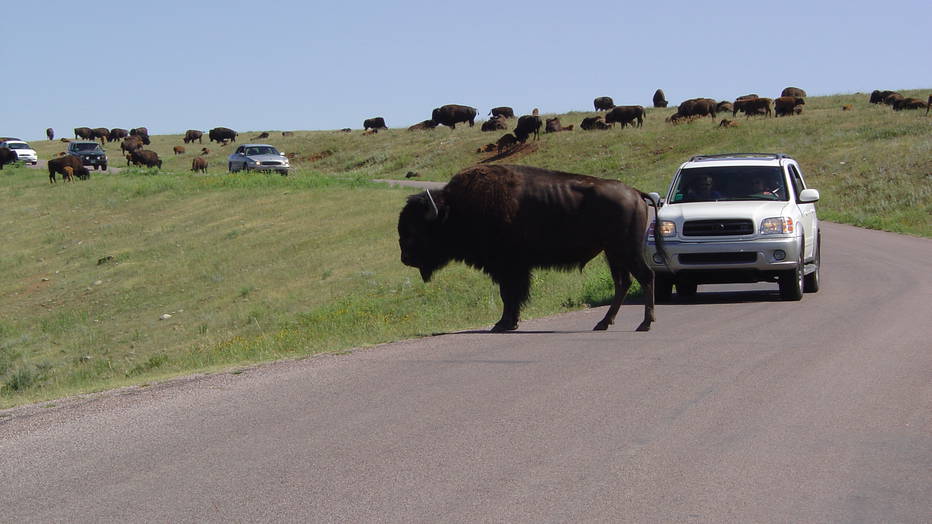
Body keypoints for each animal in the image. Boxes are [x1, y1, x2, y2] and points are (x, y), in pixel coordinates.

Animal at [396, 165, 668, 332]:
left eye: (416, 229)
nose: (405, 258)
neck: (455, 209)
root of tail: (635, 192)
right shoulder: (511, 269)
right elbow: (510, 295)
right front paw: (509, 323)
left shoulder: (508, 267)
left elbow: (509, 295)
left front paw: (503, 324)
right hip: (612, 254)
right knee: (623, 282)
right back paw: (604, 323)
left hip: (625, 251)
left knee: (646, 277)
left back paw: (645, 324)